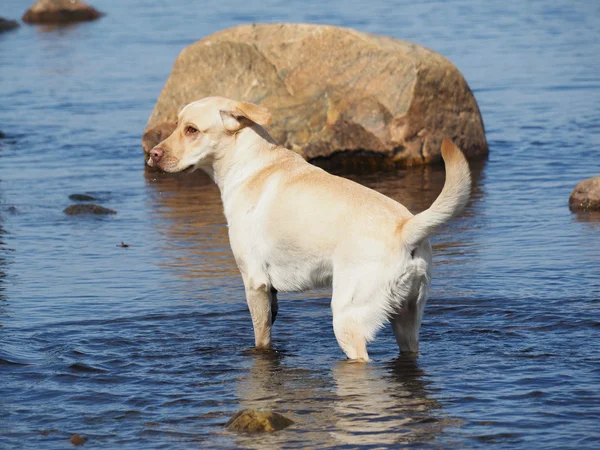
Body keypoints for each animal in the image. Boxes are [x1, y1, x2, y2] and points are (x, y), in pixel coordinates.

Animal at [148, 96, 472, 360]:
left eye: (191, 130)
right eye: (176, 125)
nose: (152, 154)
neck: (248, 164)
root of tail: (404, 228)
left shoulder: (254, 282)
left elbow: (261, 339)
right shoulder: (271, 292)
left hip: (347, 320)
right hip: (407, 320)